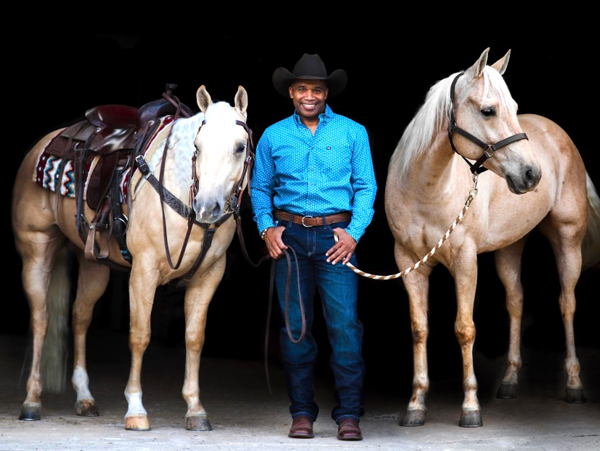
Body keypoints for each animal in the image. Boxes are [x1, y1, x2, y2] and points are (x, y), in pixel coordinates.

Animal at [10, 83, 253, 432]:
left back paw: (85, 398)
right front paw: (136, 409)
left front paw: (195, 409)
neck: (180, 188)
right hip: (36, 249)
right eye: (197, 146)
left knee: (80, 317)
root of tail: (47, 141)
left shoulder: (210, 275)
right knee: (40, 319)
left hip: (93, 264)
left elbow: (194, 338)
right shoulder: (144, 271)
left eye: (240, 147)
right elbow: (140, 335)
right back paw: (31, 401)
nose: (208, 207)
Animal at [384, 48, 600, 428]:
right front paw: (415, 405)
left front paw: (470, 407)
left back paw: (574, 386)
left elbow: (465, 328)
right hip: (510, 248)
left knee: (567, 303)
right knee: (516, 301)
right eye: (488, 110)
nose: (532, 174)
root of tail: (556, 131)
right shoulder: (409, 264)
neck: (426, 191)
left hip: (568, 241)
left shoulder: (465, 261)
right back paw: (510, 382)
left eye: (513, 107)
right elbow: (419, 329)